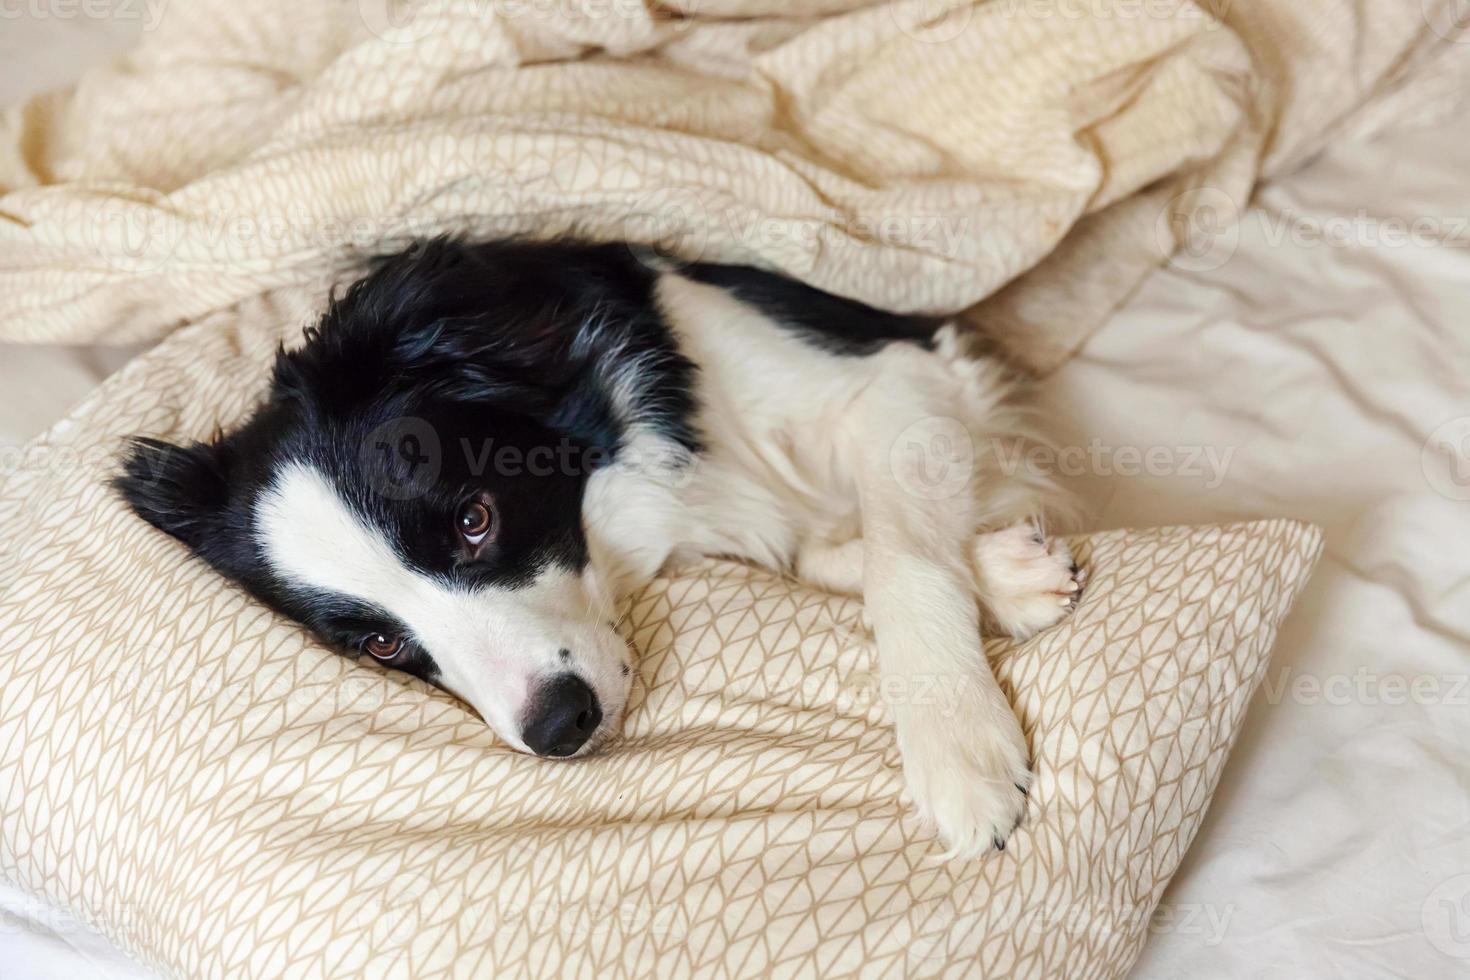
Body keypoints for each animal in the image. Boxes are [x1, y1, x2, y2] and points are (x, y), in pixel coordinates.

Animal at [117, 239, 1081, 858]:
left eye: (474, 520)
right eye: (380, 644)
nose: (558, 728)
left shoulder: (890, 373)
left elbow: (900, 557)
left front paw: (959, 747)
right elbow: (828, 551)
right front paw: (1010, 574)